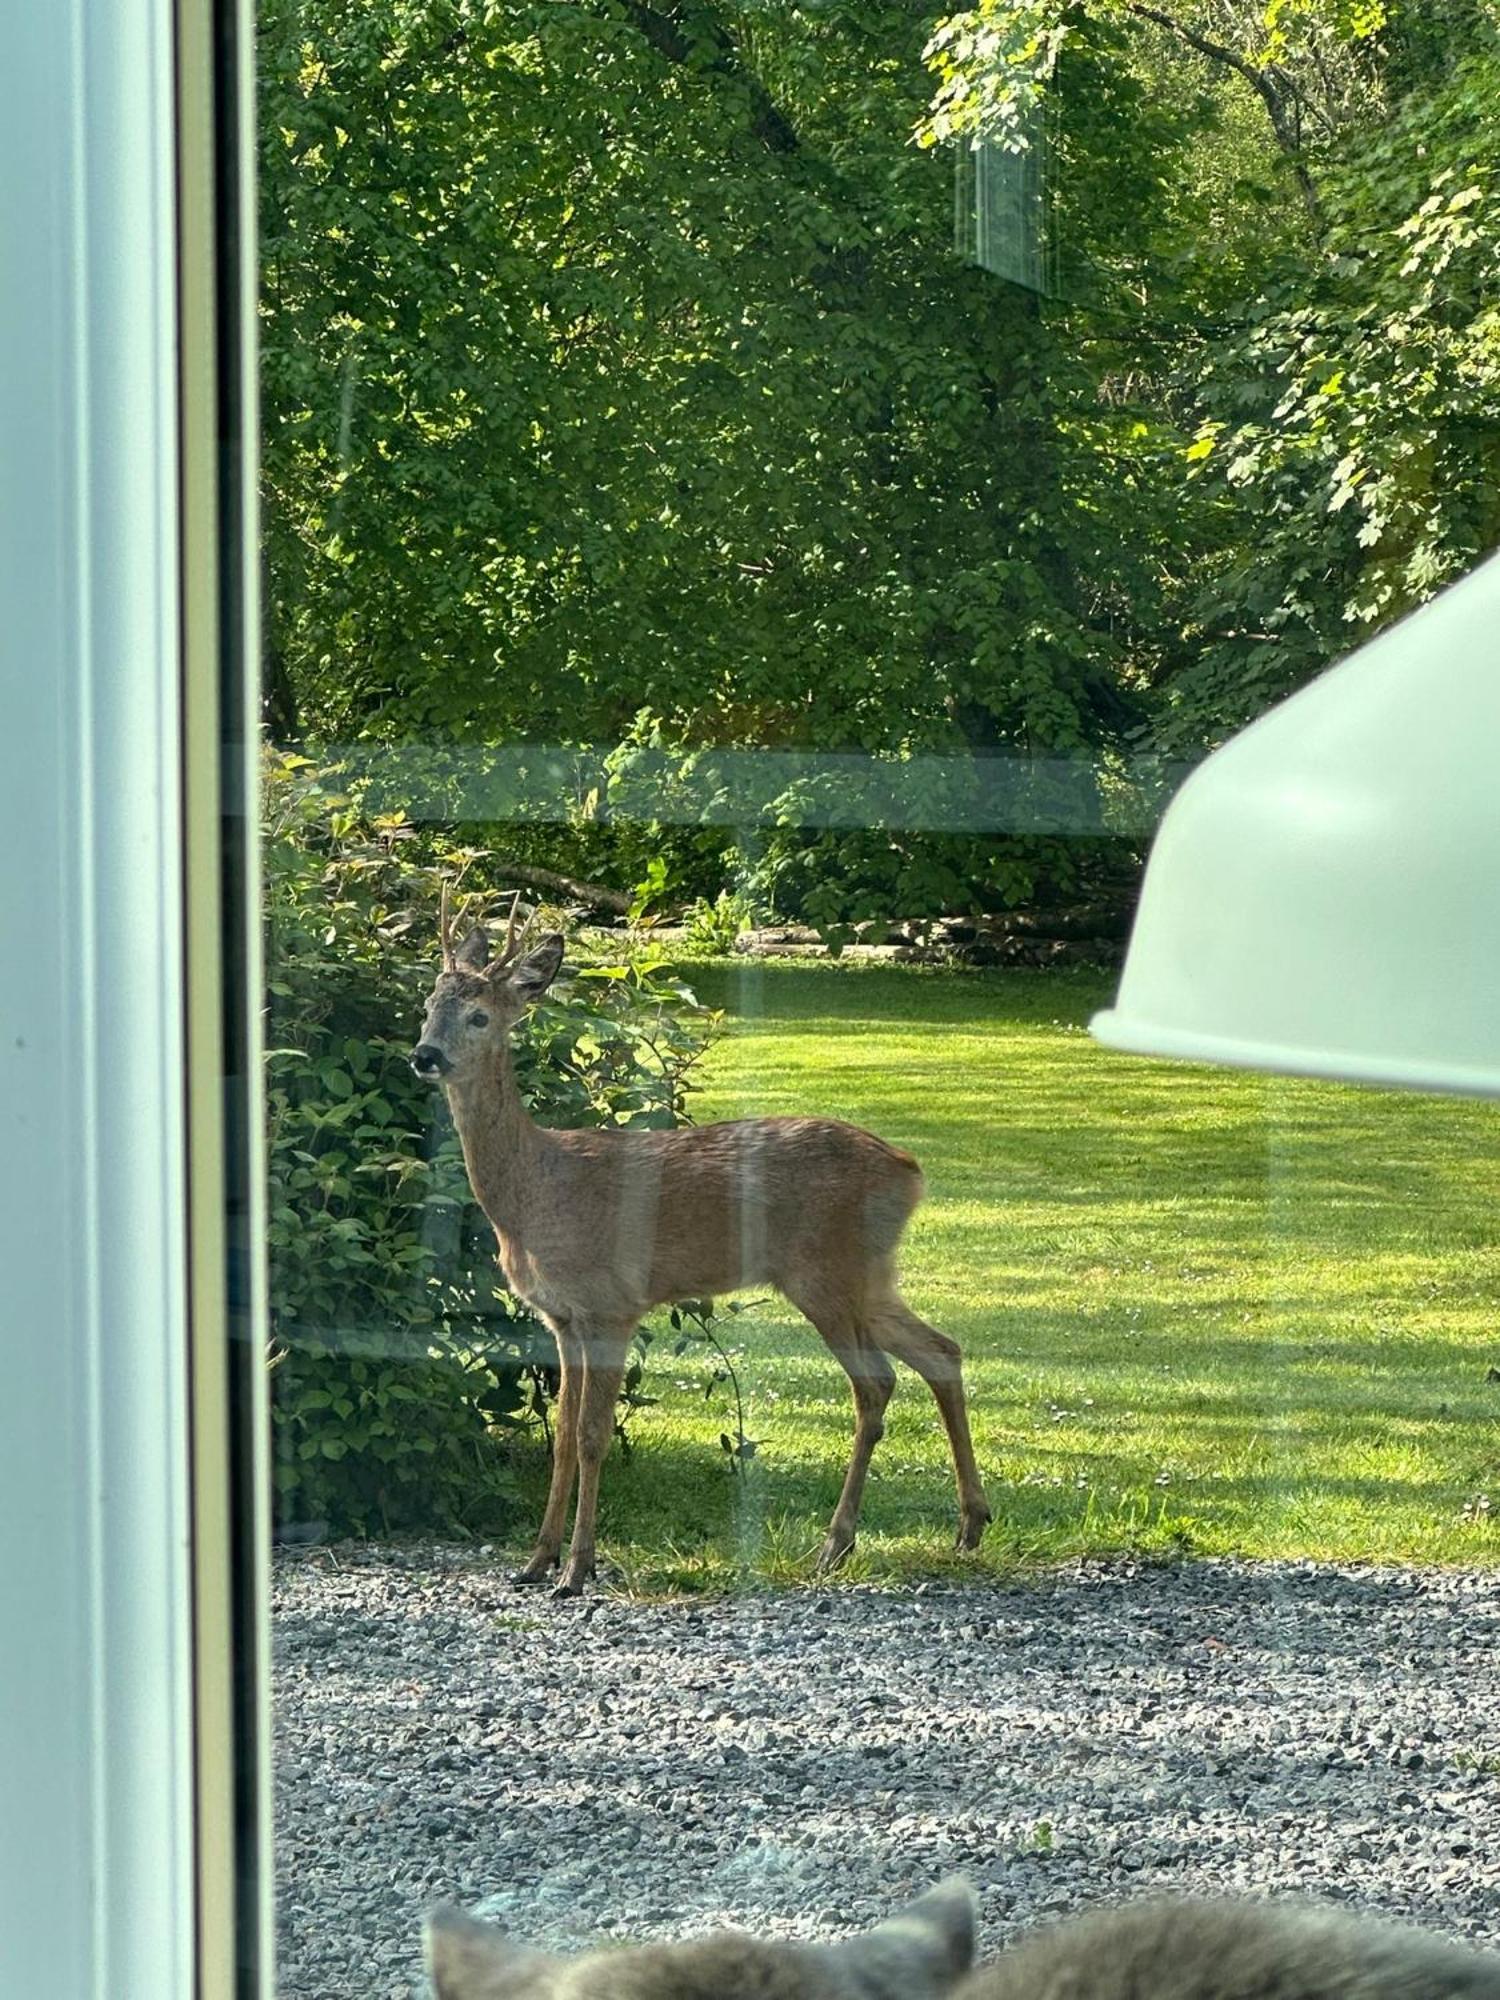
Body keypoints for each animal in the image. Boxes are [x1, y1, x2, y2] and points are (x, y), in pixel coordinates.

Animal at [406, 892, 992, 1592]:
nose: (424, 1055)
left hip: (824, 1272)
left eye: (479, 1015)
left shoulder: (612, 1303)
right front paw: (536, 1560)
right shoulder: (561, 1317)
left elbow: (593, 1434)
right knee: (942, 1351)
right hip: (871, 1275)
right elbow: (563, 1436)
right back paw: (969, 1524)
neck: (536, 1191)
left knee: (876, 1383)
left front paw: (577, 1567)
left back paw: (837, 1543)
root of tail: (910, 1171)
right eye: (427, 1003)